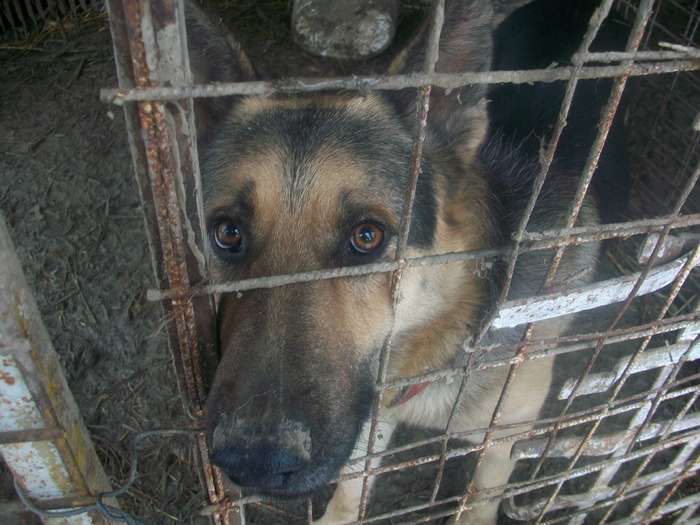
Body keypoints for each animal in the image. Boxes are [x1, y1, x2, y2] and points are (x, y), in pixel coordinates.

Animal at [187, 0, 628, 520]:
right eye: (228, 232)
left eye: (367, 236)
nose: (253, 462)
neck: (439, 343)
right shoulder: (366, 426)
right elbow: (347, 497)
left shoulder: (503, 439)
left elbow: (478, 502)